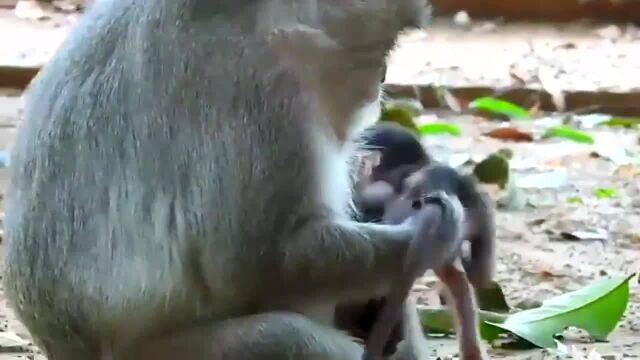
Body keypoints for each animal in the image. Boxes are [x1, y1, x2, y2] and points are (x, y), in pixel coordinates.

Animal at [3, 0, 460, 360]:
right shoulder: (261, 91)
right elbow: (254, 264)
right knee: (288, 338)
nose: (381, 76)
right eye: (385, 42)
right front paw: (433, 232)